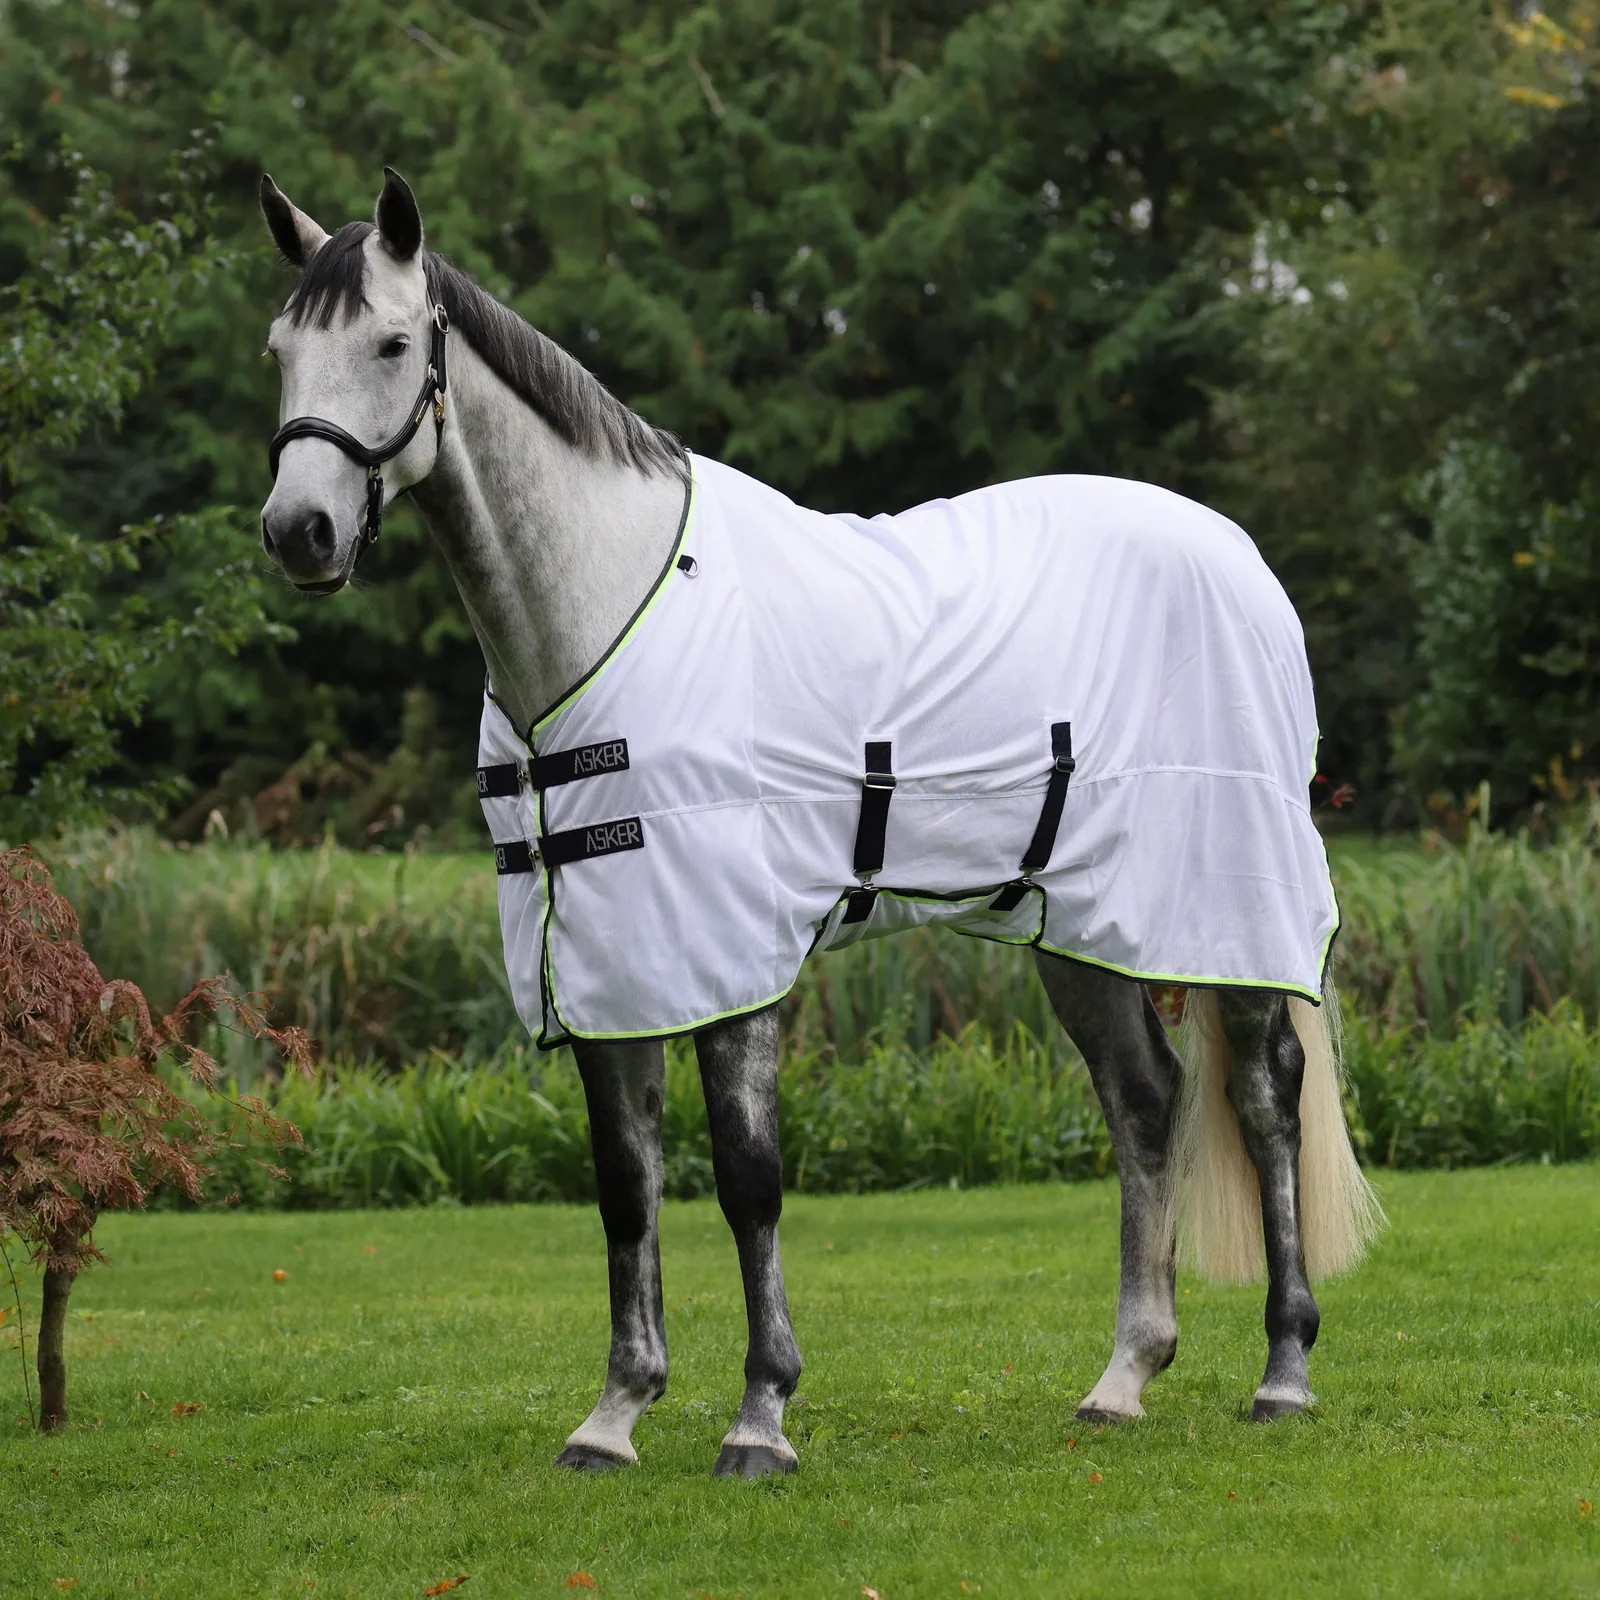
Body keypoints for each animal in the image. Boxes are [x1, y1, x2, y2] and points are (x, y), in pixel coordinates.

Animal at [257, 168, 1382, 1478]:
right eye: (281, 349)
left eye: (391, 343)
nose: (299, 532)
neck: (606, 606)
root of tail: (1239, 558)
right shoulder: (610, 956)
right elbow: (625, 1183)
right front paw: (614, 1414)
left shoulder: (728, 951)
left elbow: (748, 1179)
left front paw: (760, 1416)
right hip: (1079, 922)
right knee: (1143, 1100)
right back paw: (1121, 1378)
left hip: (1226, 904)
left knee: (1262, 1097)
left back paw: (1284, 1371)